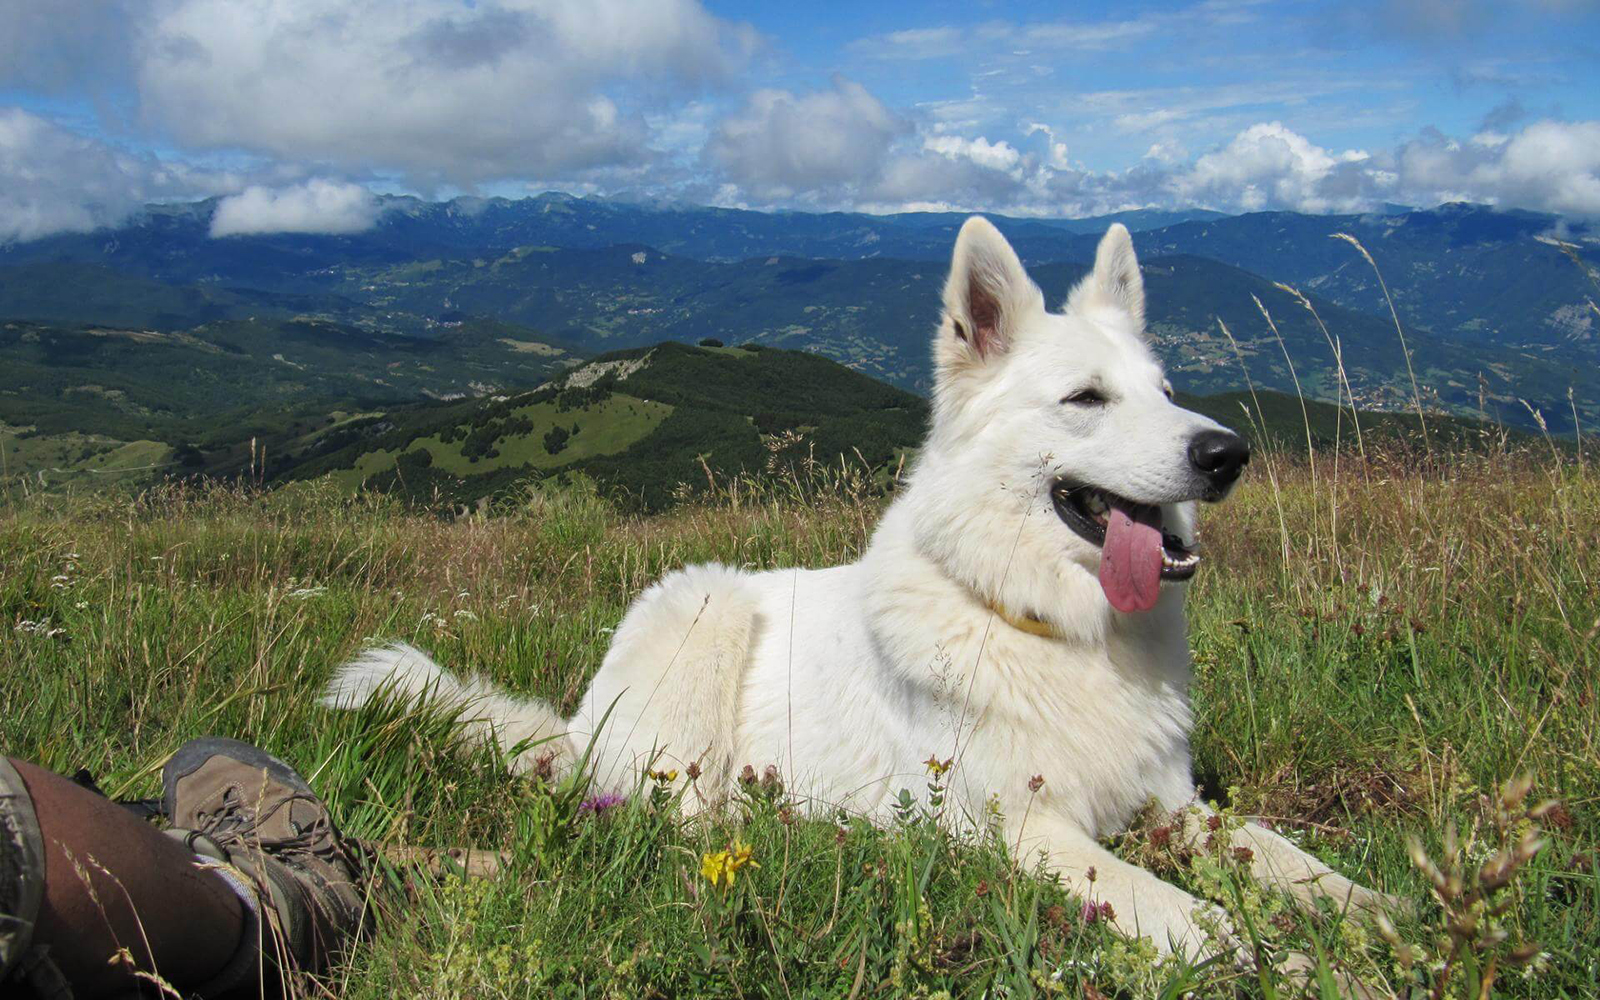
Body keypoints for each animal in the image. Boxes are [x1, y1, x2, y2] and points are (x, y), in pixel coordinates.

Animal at [324, 220, 1388, 960]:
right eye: (1087, 399)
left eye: (1166, 394)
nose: (1228, 455)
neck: (1053, 629)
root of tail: (576, 728)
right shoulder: (1012, 825)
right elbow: (1147, 891)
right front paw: (1239, 943)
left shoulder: (1175, 805)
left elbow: (1292, 860)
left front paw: (1379, 914)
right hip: (701, 615)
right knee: (673, 817)